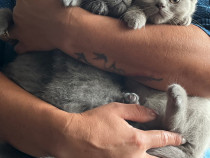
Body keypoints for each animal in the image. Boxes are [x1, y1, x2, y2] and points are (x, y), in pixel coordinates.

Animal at [0, 0, 210, 158]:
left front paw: (182, 19)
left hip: (200, 110)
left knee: (174, 128)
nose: (161, 4)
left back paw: (173, 96)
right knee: (166, 126)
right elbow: (9, 13)